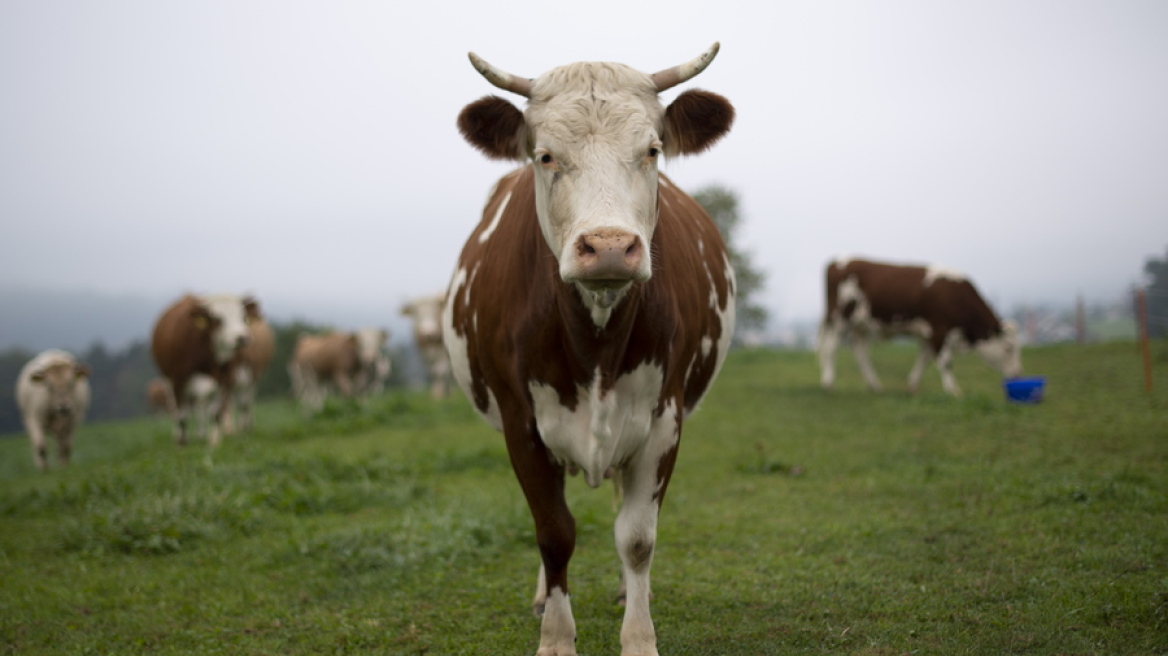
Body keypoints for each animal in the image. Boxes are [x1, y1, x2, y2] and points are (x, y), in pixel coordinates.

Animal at [150, 291, 260, 441]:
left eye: (243, 316)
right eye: (218, 319)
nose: (242, 338)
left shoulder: (223, 379)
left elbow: (215, 412)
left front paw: (214, 441)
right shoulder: (178, 378)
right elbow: (182, 413)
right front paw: (182, 442)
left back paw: (201, 434)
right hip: (168, 380)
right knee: (177, 409)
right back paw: (179, 435)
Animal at [441, 44, 733, 653]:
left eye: (652, 150)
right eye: (546, 155)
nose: (609, 247)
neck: (594, 337)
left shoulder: (664, 419)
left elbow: (637, 537)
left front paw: (639, 637)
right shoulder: (520, 423)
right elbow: (554, 533)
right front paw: (555, 637)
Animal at [817, 256, 1018, 396]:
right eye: (1008, 348)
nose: (1017, 374)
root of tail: (836, 261)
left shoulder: (928, 334)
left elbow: (924, 359)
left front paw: (913, 386)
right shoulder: (939, 330)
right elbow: (946, 362)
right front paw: (954, 391)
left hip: (860, 325)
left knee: (860, 354)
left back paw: (875, 385)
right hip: (839, 318)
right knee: (831, 348)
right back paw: (828, 383)